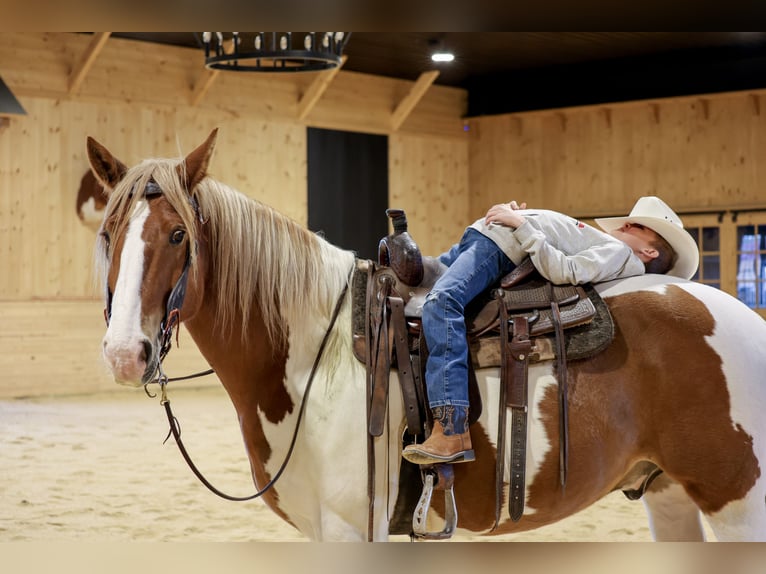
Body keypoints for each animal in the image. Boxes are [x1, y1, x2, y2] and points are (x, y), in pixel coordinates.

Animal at [88, 129, 766, 542]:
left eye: (179, 235)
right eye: (107, 232)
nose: (125, 354)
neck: (315, 356)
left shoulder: (351, 531)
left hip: (738, 503)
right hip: (668, 494)